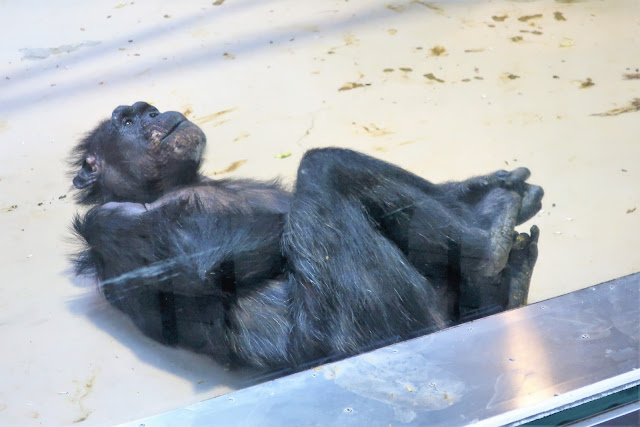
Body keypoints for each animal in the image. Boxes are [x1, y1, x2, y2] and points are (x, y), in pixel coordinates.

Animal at [70, 102, 544, 372]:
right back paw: (488, 241)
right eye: (128, 121)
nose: (154, 116)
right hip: (372, 319)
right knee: (324, 166)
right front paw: (482, 203)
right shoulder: (106, 223)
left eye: (146, 110)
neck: (165, 187)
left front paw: (474, 189)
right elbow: (198, 259)